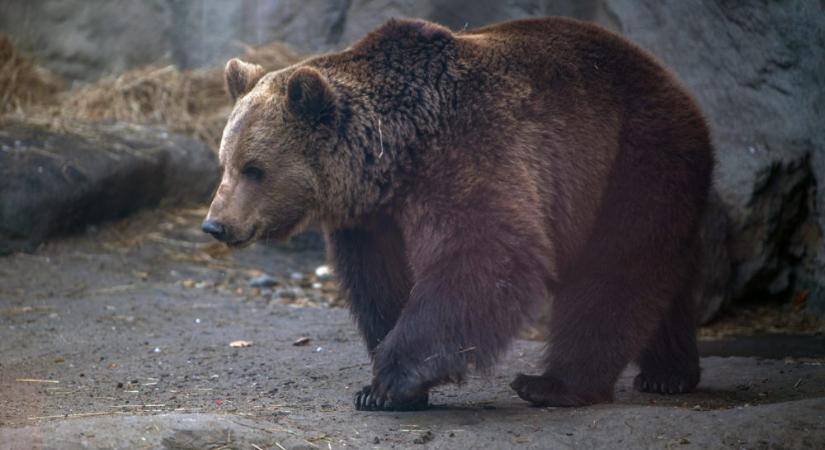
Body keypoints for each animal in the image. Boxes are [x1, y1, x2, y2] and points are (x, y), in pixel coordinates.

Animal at [201, 16, 716, 412]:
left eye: (255, 169)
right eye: (225, 162)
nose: (216, 223)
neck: (394, 155)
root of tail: (675, 82)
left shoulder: (470, 150)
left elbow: (484, 254)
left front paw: (392, 380)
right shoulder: (371, 219)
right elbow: (380, 282)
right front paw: (385, 387)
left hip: (632, 157)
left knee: (615, 268)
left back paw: (554, 384)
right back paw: (669, 373)